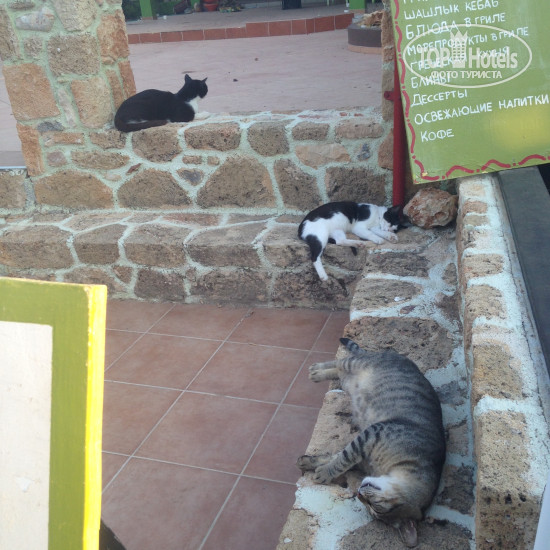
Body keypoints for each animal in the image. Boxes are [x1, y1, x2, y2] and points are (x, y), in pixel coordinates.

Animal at [297, 338, 445, 548]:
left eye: (372, 508)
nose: (359, 492)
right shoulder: (371, 435)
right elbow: (342, 458)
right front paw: (325, 472)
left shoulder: (363, 453)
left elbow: (336, 457)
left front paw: (314, 464)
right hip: (358, 363)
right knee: (342, 361)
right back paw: (317, 370)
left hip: (348, 380)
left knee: (340, 370)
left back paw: (319, 372)